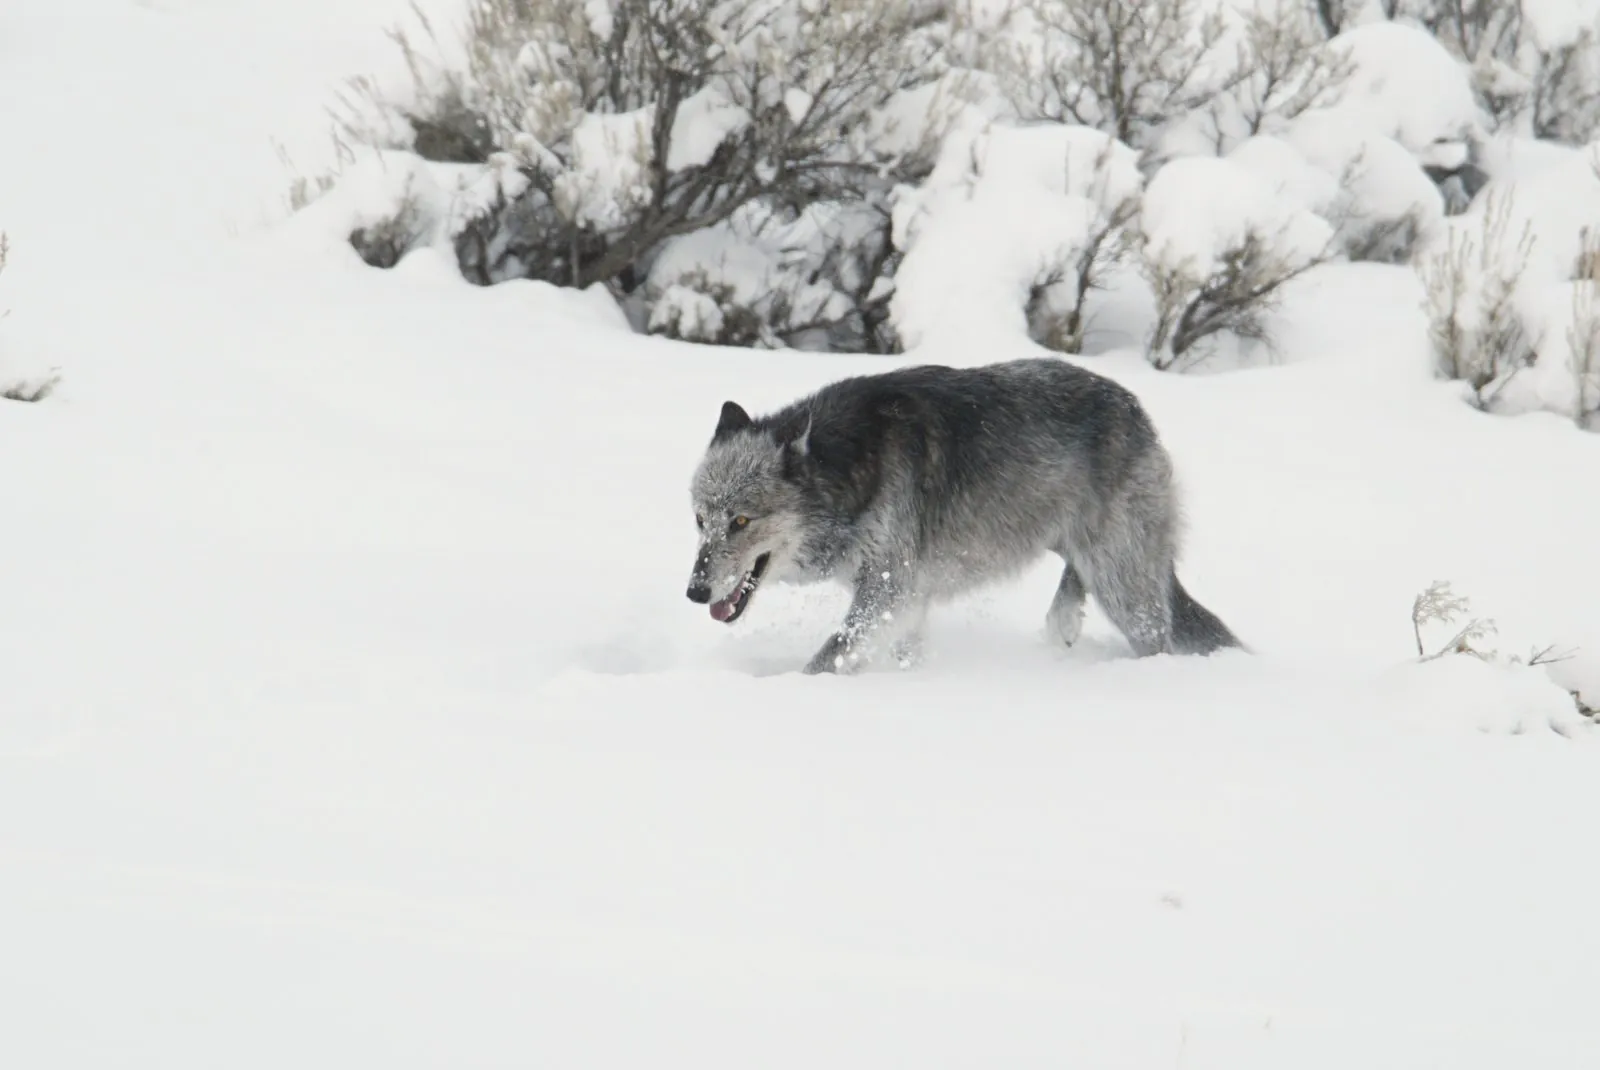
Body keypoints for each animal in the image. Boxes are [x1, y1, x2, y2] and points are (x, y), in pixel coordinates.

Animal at [685, 357, 1241, 674]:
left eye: (741, 521)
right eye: (700, 520)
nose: (694, 592)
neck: (850, 469)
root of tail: (1136, 410)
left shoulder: (890, 592)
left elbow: (825, 659)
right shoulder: (902, 602)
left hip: (1124, 587)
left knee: (1156, 637)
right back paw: (1062, 624)